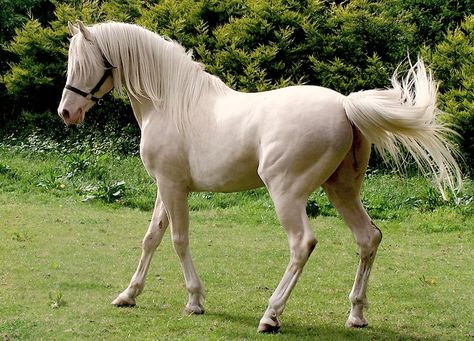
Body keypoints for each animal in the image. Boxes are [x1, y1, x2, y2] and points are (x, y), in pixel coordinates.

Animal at [57, 21, 462, 332]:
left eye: (82, 63)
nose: (66, 112)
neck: (171, 103)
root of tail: (345, 105)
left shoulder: (173, 188)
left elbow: (178, 240)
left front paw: (195, 300)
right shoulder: (165, 187)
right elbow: (151, 239)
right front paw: (129, 294)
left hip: (287, 194)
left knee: (302, 244)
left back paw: (271, 315)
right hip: (342, 190)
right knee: (368, 238)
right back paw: (356, 315)